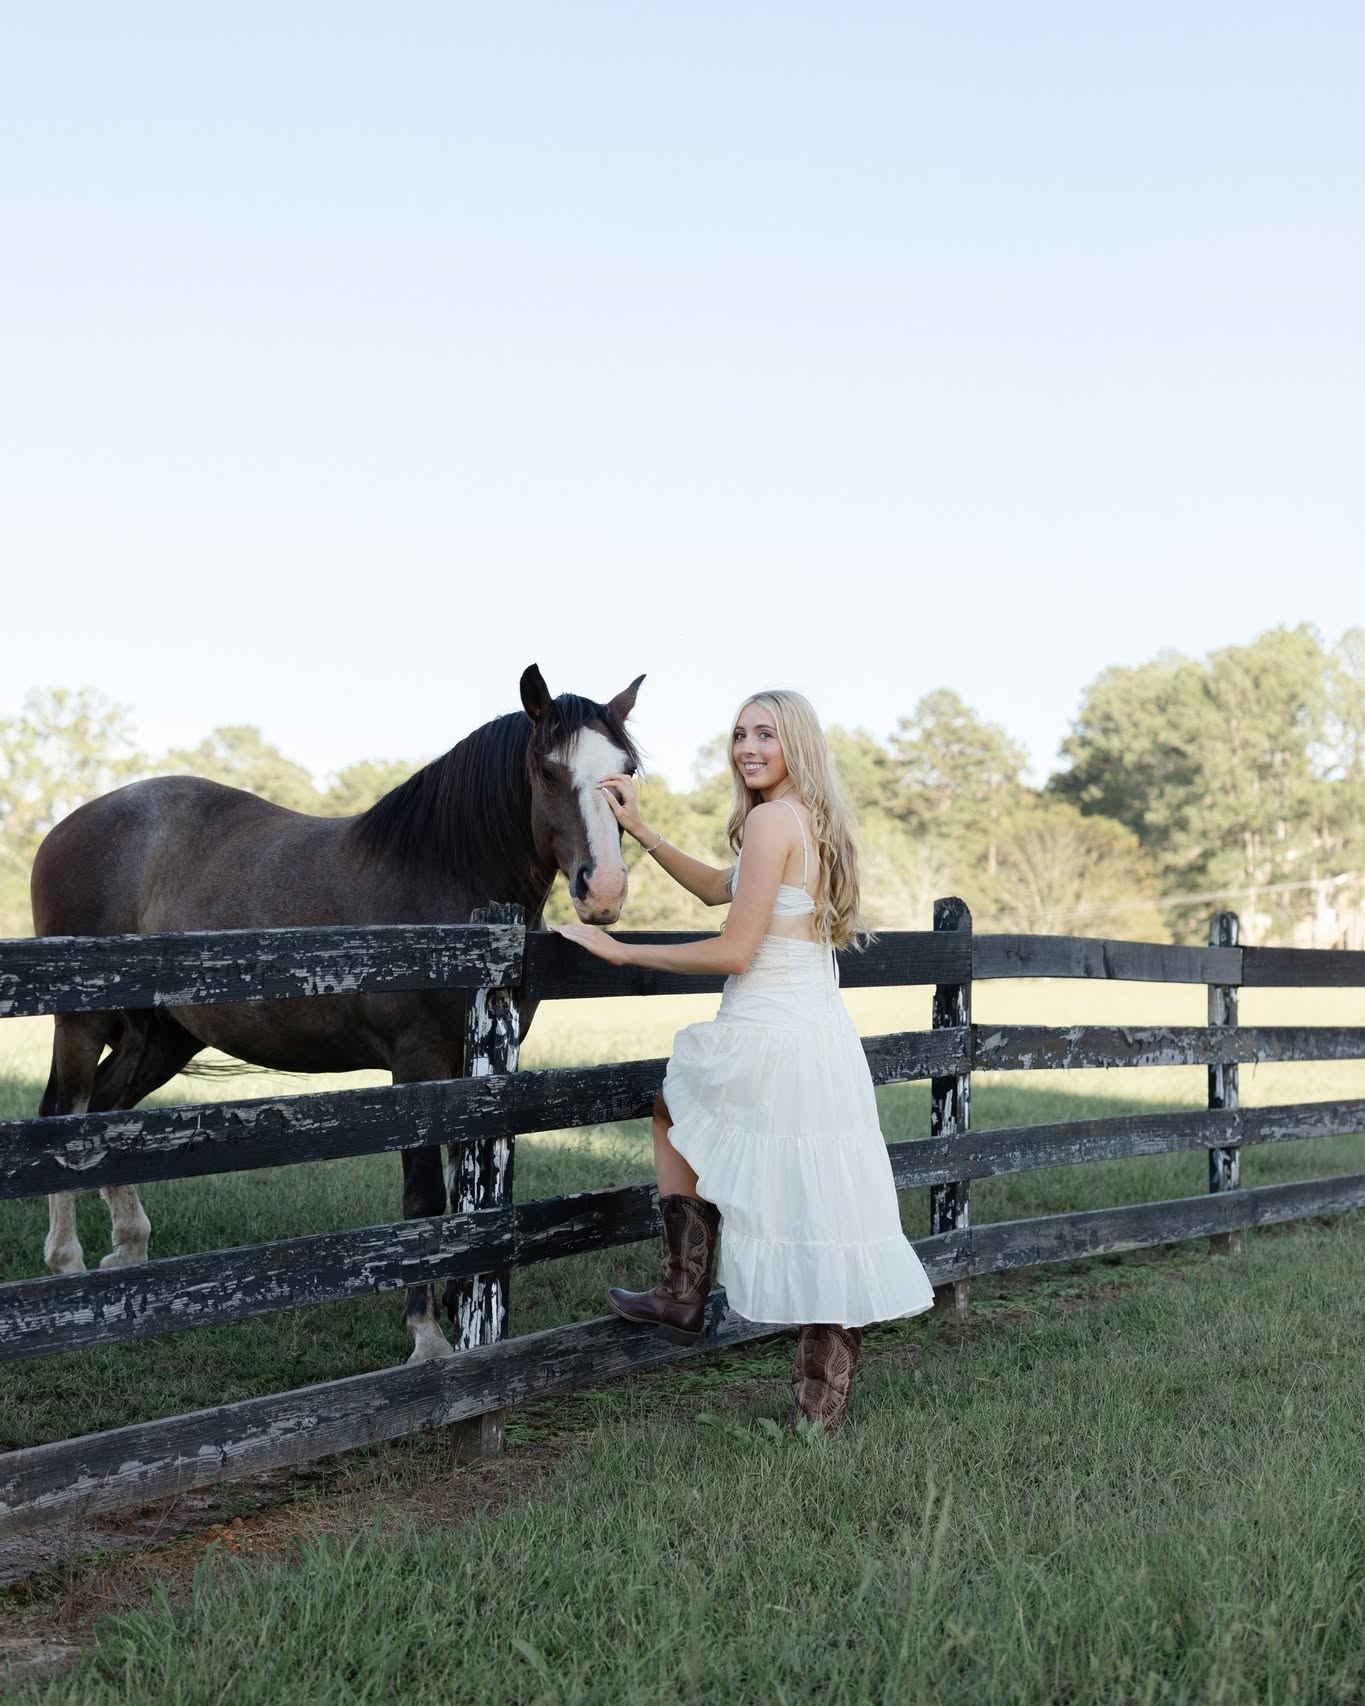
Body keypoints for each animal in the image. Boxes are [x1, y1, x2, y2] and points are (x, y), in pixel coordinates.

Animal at [29, 663, 644, 1361]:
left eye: (626, 770)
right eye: (546, 770)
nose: (604, 889)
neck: (445, 887)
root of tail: (71, 825)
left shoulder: (476, 1070)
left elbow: (466, 1187)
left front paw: (464, 1307)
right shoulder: (417, 1068)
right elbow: (424, 1196)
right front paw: (428, 1337)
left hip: (161, 1036)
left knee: (110, 1117)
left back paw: (128, 1257)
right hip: (82, 1022)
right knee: (67, 1120)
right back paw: (68, 1265)